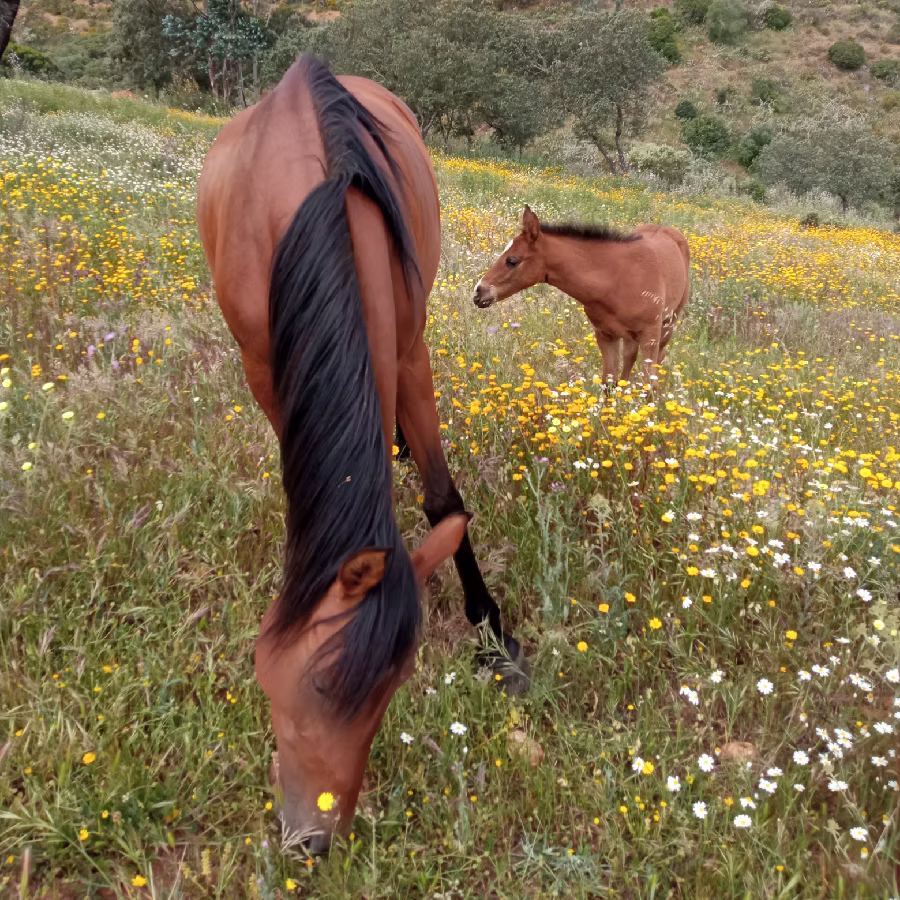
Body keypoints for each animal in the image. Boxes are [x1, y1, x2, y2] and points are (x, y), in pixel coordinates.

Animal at [196, 56, 525, 853]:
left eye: (388, 694)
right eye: (310, 685)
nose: (311, 841)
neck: (301, 209)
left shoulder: (409, 353)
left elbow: (444, 499)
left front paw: (493, 638)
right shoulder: (266, 370)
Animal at [473, 206, 691, 387]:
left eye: (512, 261)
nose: (478, 292)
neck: (616, 279)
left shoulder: (650, 335)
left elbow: (649, 386)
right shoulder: (605, 335)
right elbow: (608, 383)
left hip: (668, 324)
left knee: (659, 360)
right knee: (629, 359)